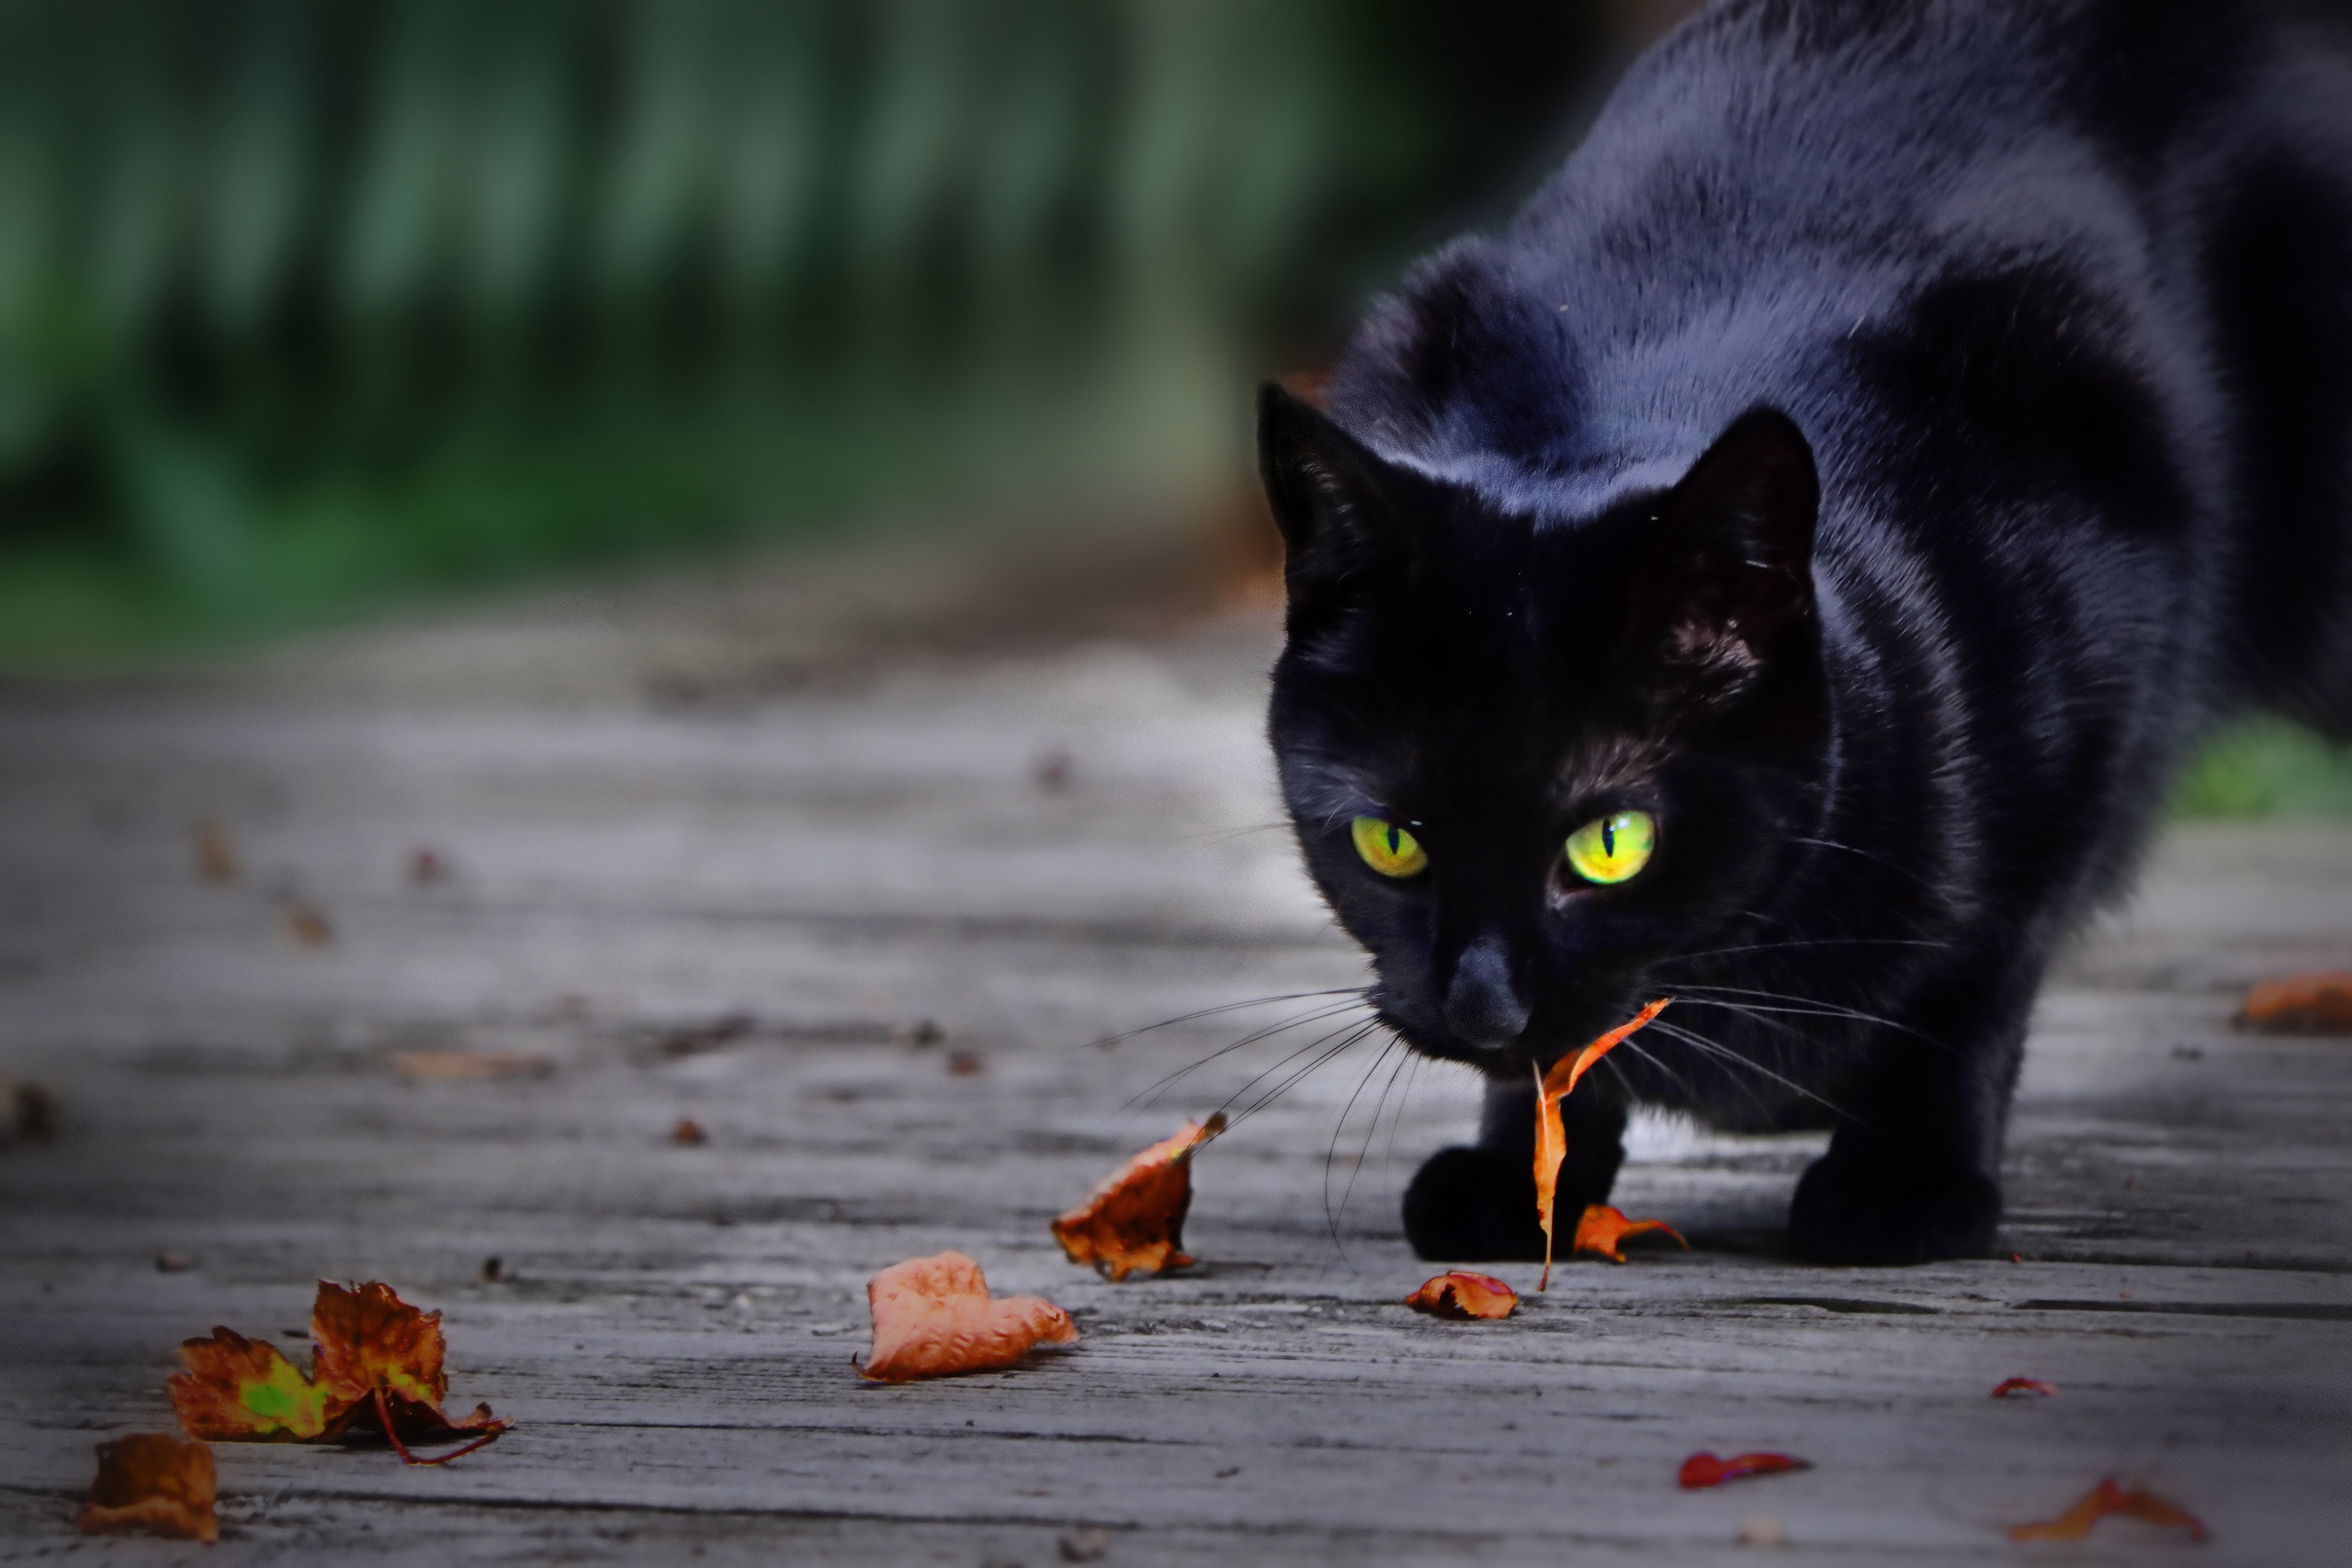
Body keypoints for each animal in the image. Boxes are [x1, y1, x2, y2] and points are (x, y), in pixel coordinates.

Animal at [1261, 0, 2352, 1259]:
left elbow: (1976, 983)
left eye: (1610, 844)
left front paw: (1906, 1184)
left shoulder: (2095, 704)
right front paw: (1519, 1176)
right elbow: (1551, 1075)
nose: (1482, 1007)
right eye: (1390, 842)